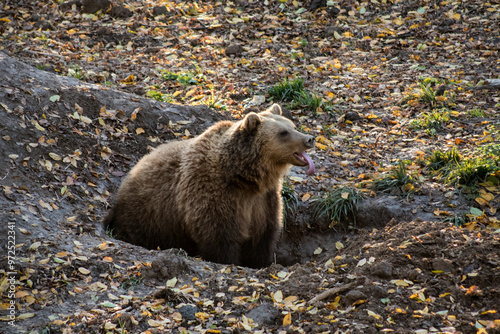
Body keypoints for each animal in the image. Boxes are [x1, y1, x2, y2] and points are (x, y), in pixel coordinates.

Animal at [103, 103, 314, 268]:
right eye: (283, 132)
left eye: (292, 125)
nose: (309, 139)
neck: (244, 177)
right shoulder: (214, 192)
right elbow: (219, 235)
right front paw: (228, 261)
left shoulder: (264, 200)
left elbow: (263, 235)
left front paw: (260, 263)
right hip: (147, 214)